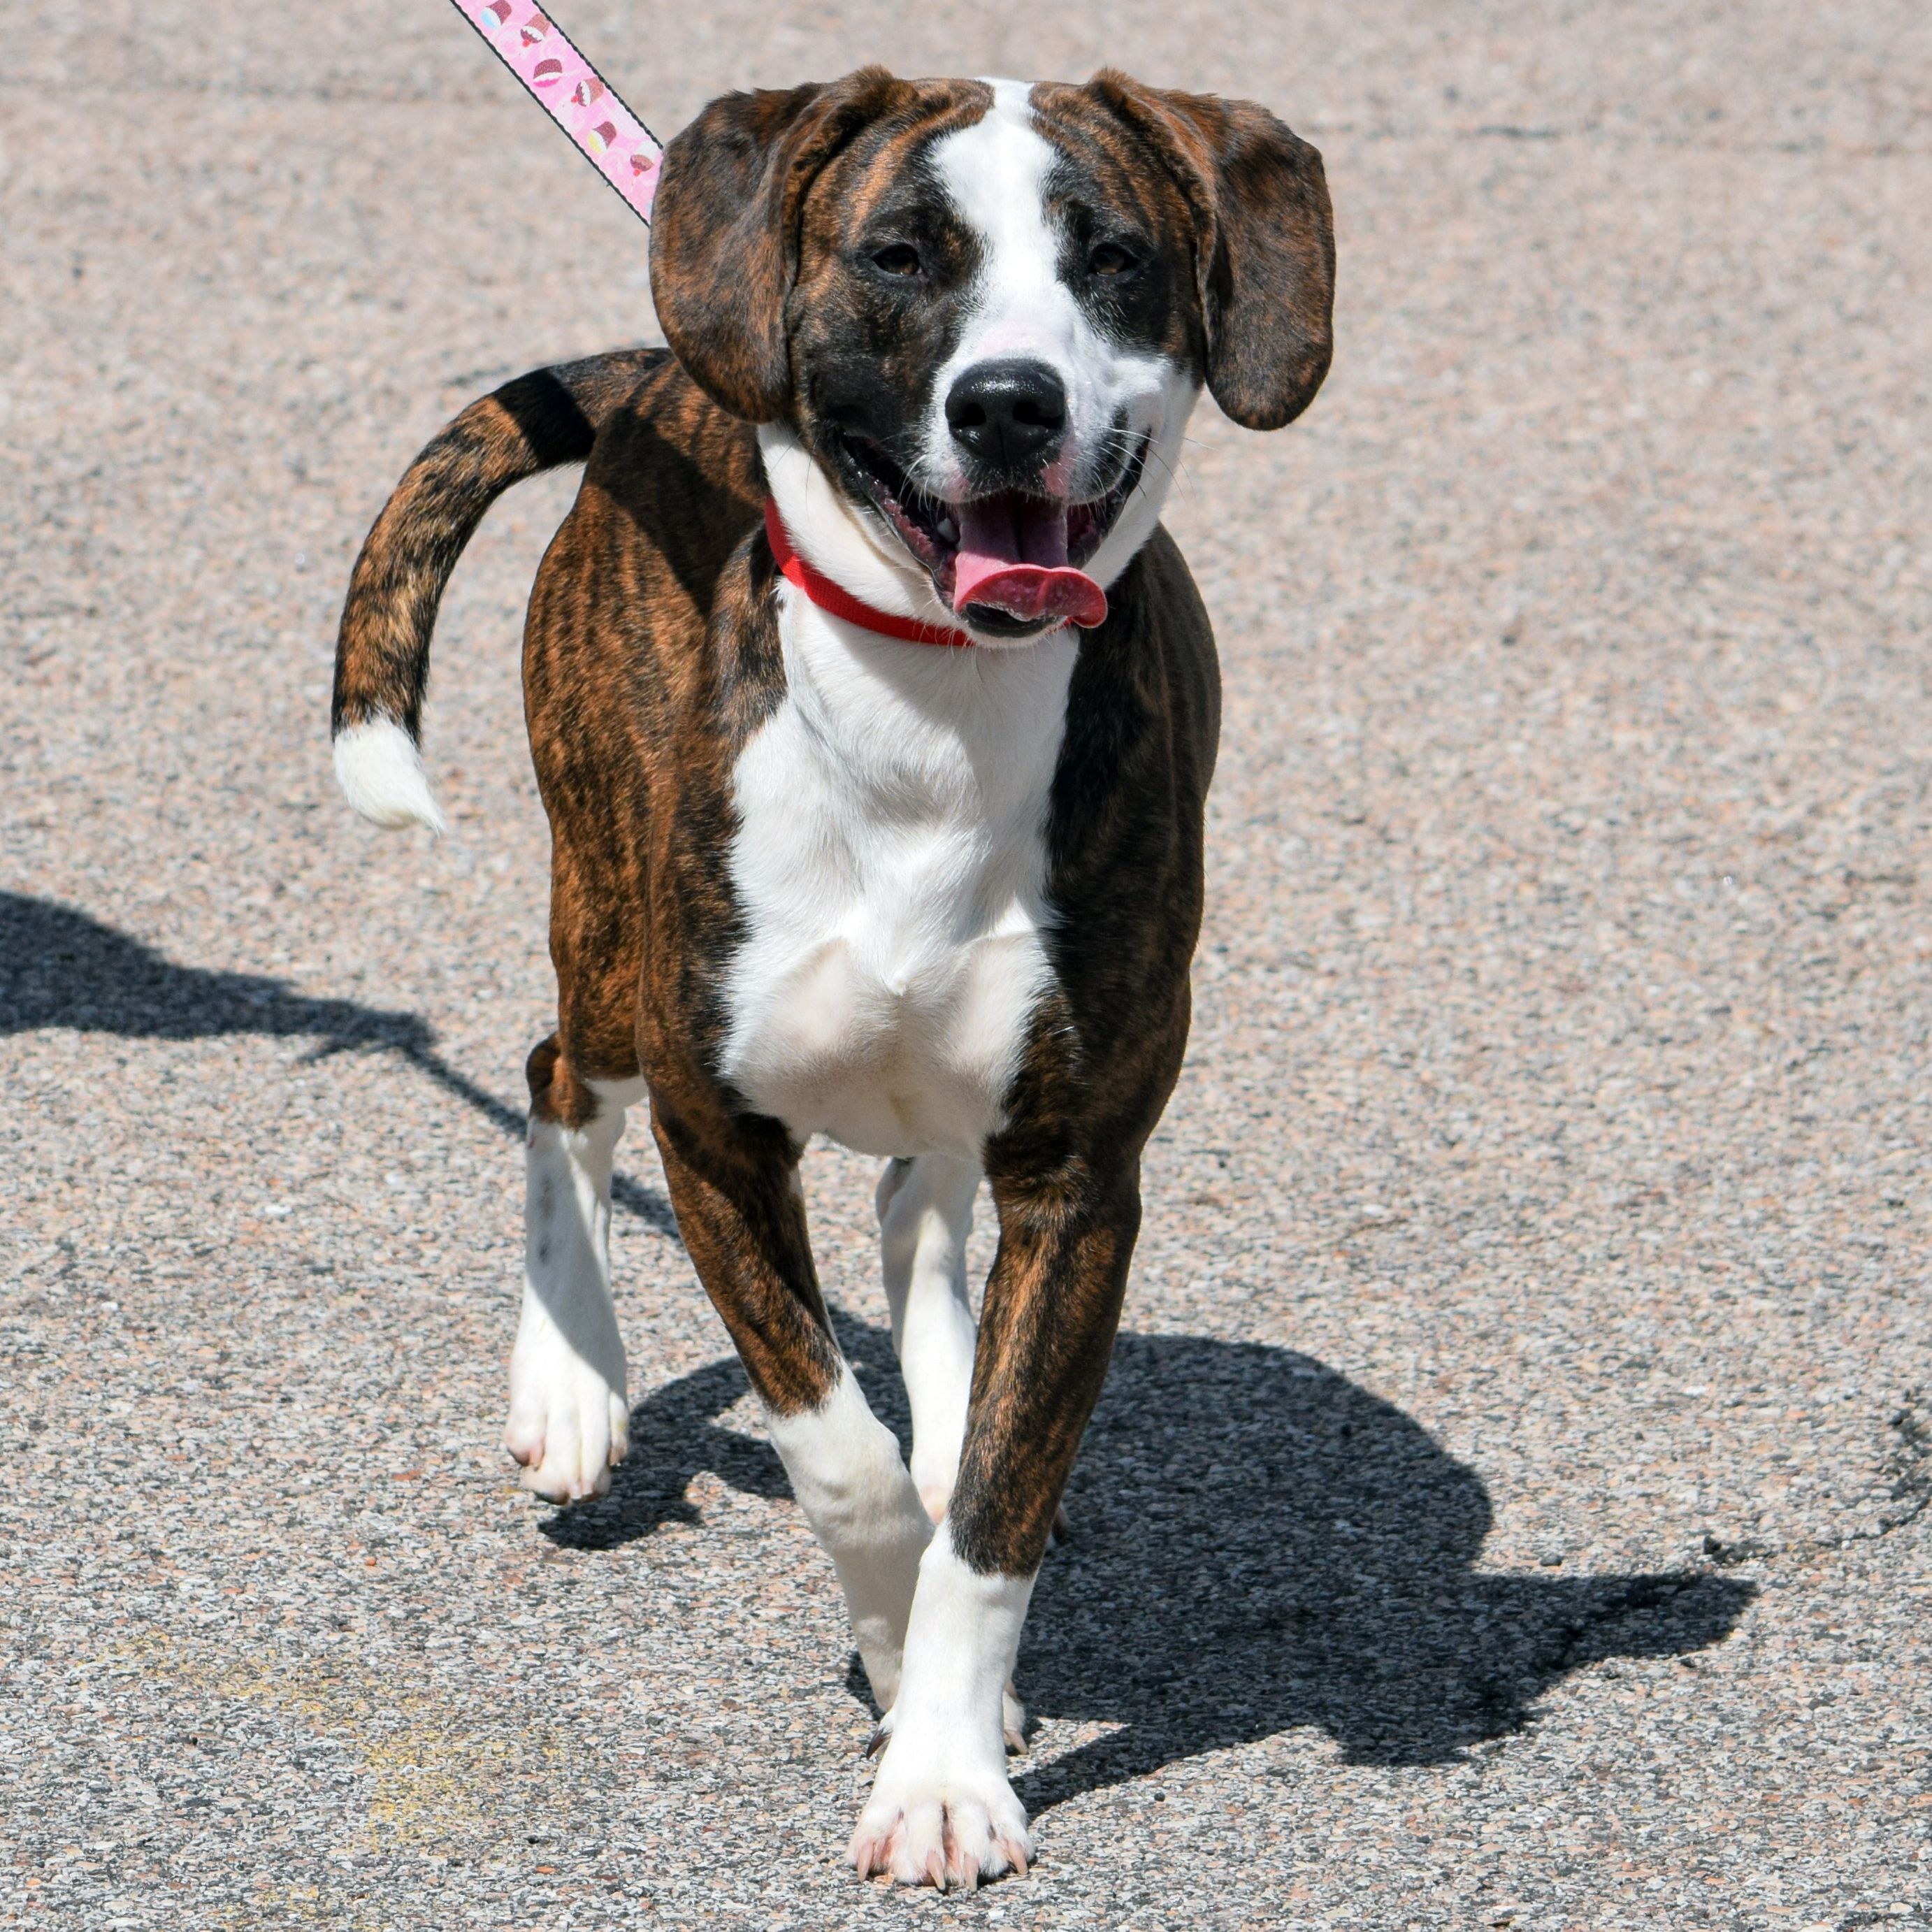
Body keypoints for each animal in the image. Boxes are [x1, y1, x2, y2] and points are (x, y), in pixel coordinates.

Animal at [332, 71, 1329, 1885]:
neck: (935, 698)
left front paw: (940, 1758)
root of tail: (663, 367)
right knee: (557, 1076)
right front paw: (884, 1648)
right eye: (898, 255)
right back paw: (570, 1385)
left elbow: (990, 1508)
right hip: (608, 912)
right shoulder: (719, 1145)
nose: (1006, 404)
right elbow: (836, 1453)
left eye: (1113, 259)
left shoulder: (1079, 1177)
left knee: (915, 1209)